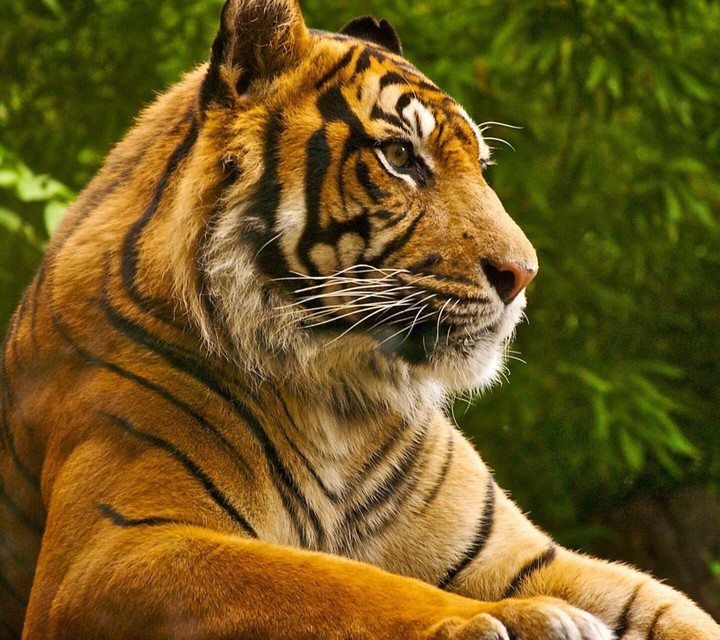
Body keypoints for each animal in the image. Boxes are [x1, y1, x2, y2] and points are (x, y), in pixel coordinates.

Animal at [1, 0, 718, 638]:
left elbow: (675, 608)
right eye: (400, 158)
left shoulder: (520, 554)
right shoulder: (111, 549)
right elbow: (335, 582)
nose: (523, 274)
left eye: (481, 168)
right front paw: (514, 619)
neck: (339, 401)